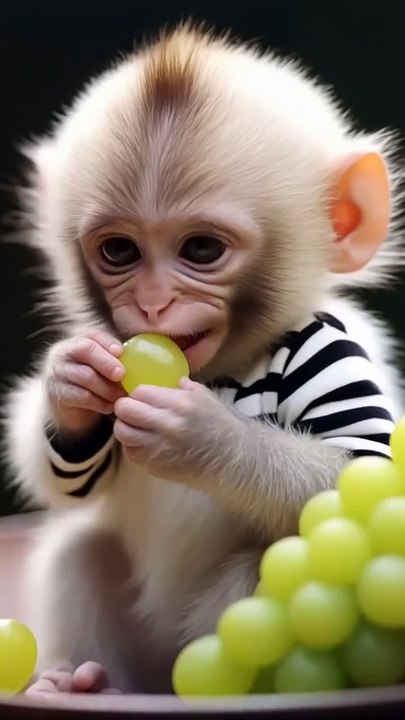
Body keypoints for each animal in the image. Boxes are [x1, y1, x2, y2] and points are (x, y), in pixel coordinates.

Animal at [2, 22, 404, 696]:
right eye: (119, 252)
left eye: (201, 249)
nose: (152, 303)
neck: (222, 369)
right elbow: (71, 481)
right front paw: (72, 388)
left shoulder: (332, 352)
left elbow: (357, 471)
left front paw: (204, 437)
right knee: (78, 551)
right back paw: (84, 684)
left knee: (254, 568)